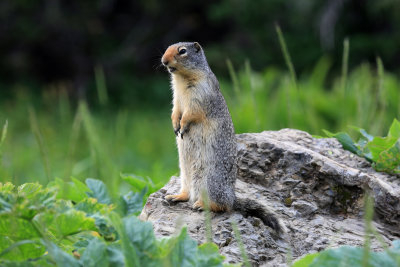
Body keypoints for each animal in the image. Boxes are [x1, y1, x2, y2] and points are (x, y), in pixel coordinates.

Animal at [160, 41, 284, 234]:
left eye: (182, 51)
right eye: (167, 48)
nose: (164, 61)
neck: (181, 80)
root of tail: (232, 197)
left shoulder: (201, 95)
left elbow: (191, 113)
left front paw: (183, 125)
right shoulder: (177, 98)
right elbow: (175, 111)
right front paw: (175, 126)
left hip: (210, 182)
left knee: (222, 206)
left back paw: (201, 205)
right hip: (185, 176)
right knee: (188, 193)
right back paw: (175, 196)